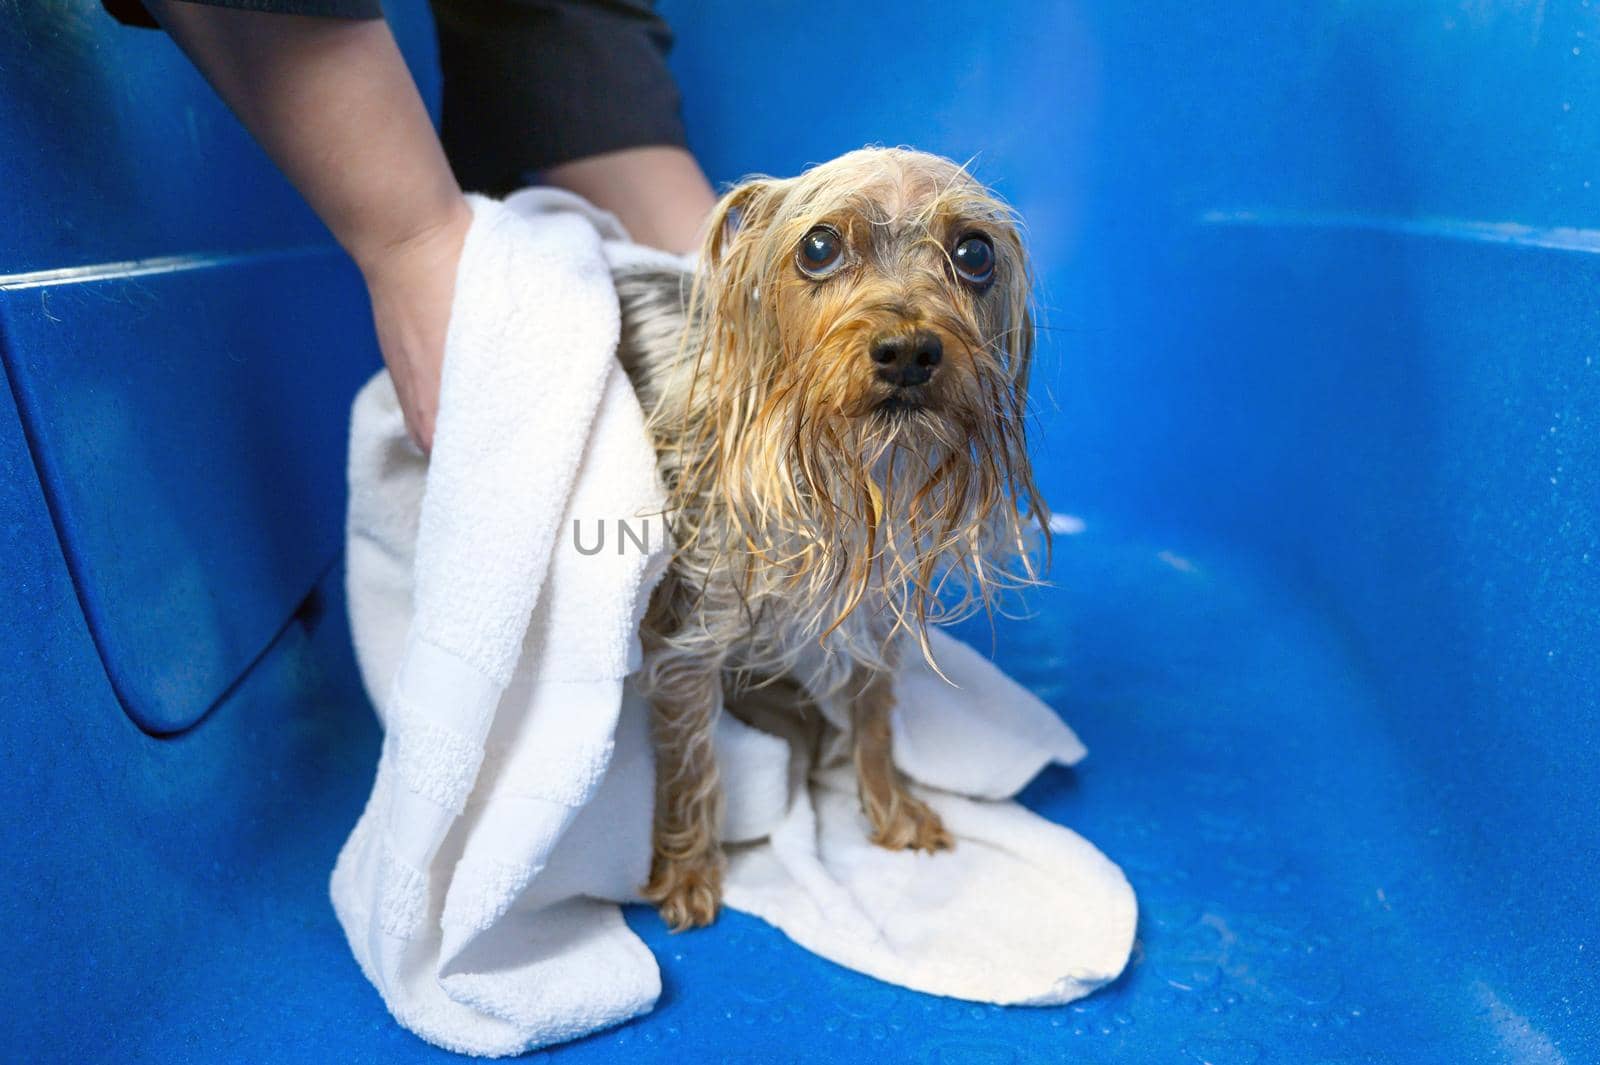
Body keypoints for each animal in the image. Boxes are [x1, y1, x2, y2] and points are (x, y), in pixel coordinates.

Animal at [604, 145, 1043, 927]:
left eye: (974, 253)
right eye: (818, 247)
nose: (908, 350)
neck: (848, 474)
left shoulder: (874, 606)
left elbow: (872, 715)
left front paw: (891, 808)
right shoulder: (690, 626)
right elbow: (691, 752)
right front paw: (687, 867)